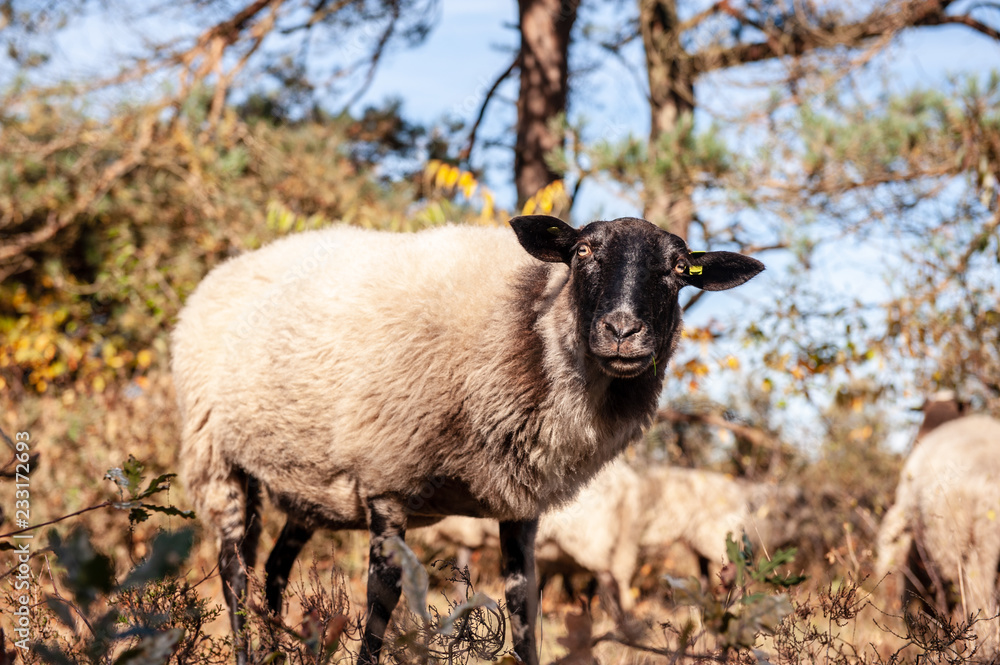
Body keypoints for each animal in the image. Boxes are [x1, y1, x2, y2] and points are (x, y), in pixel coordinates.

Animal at [414, 460, 643, 619]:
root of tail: (627, 483)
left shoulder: (467, 531)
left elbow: (462, 565)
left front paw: (461, 602)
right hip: (621, 541)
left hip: (591, 538)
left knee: (609, 581)